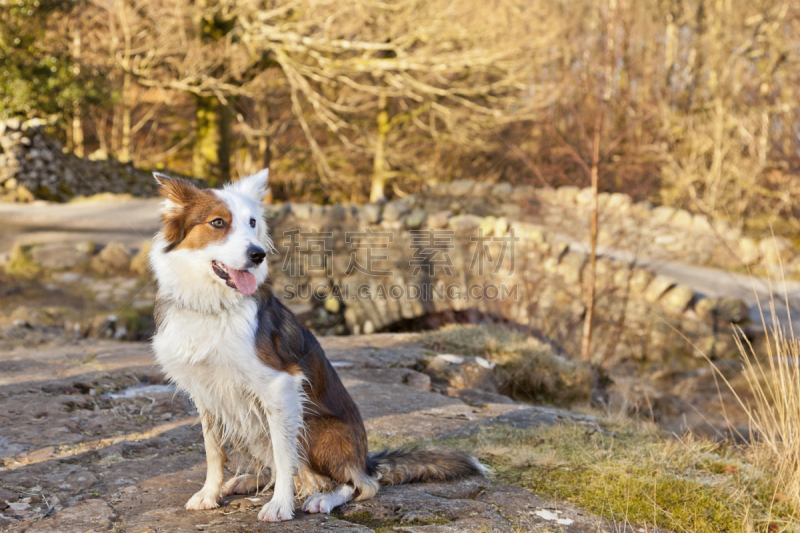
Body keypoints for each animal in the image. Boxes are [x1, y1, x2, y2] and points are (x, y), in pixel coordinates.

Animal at [149, 169, 488, 520]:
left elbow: (285, 457)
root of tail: (365, 459)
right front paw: (209, 494)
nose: (258, 255)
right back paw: (249, 481)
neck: (213, 305)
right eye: (217, 223)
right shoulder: (208, 393)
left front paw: (280, 505)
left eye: (252, 222)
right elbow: (213, 451)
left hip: (312, 425)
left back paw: (323, 498)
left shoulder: (280, 385)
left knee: (359, 484)